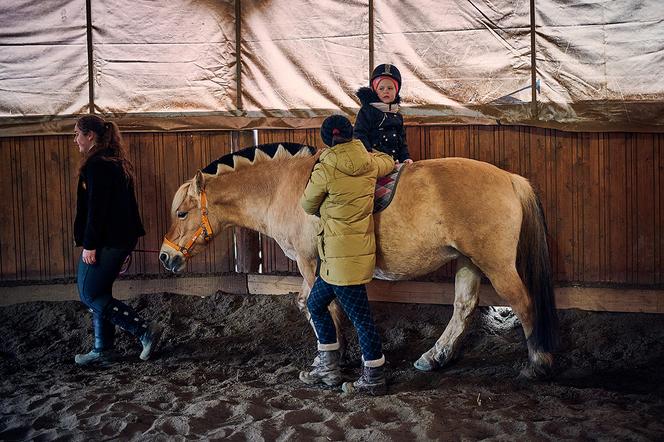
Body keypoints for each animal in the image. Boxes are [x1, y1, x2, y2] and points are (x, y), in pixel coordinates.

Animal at [158, 143, 556, 378]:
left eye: (181, 213)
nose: (166, 256)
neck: (282, 188)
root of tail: (510, 178)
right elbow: (325, 306)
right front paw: (341, 352)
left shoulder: (309, 264)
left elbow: (317, 306)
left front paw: (329, 359)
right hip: (468, 261)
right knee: (463, 308)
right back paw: (436, 356)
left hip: (495, 265)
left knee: (523, 303)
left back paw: (538, 363)